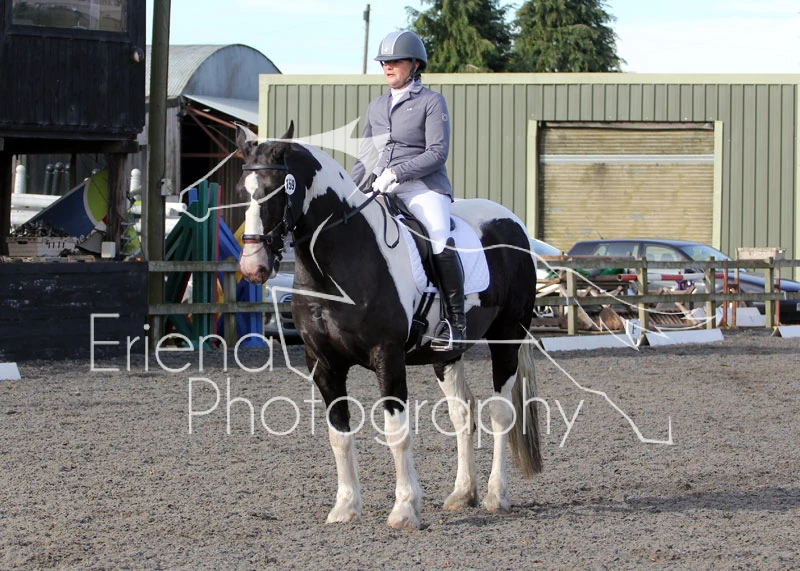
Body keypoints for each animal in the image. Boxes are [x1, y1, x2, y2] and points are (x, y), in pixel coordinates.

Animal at [235, 122, 542, 530]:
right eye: (244, 191)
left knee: (501, 413)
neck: (338, 262)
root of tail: (513, 222)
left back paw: (496, 496)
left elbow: (397, 433)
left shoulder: (388, 356)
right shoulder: (323, 363)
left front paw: (405, 509)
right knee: (463, 414)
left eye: (276, 187)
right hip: (447, 354)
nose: (253, 266)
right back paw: (463, 494)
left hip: (507, 337)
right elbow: (339, 434)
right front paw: (345, 507)